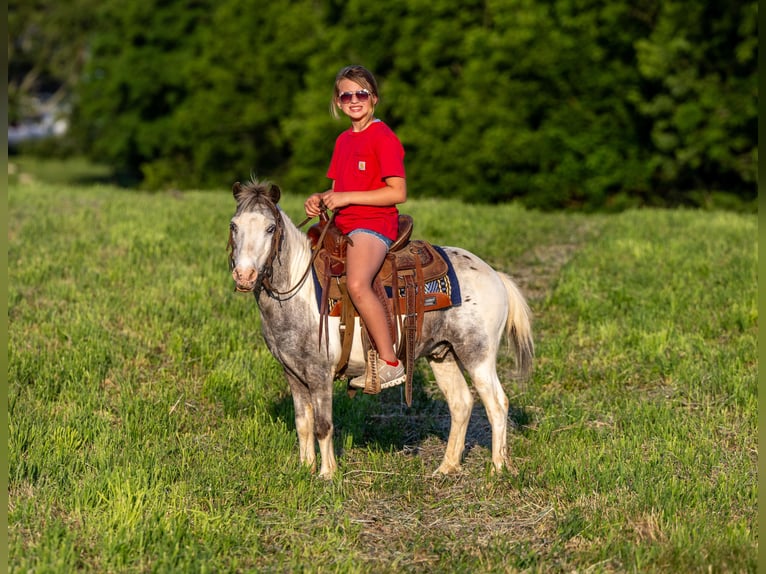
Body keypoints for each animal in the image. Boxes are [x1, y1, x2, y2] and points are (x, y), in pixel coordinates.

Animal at [228, 179, 534, 479]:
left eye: (270, 228)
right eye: (234, 225)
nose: (244, 276)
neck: (299, 292)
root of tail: (495, 275)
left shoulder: (319, 373)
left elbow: (323, 425)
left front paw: (327, 475)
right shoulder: (292, 372)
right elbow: (303, 423)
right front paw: (305, 469)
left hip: (477, 355)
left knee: (497, 403)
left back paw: (497, 469)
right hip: (442, 354)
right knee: (461, 403)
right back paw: (446, 467)